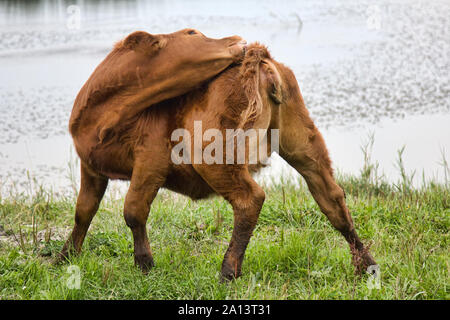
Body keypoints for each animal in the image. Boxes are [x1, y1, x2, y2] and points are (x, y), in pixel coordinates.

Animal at [60, 38, 376, 282]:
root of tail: (259, 57)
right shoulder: (91, 167)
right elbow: (83, 210)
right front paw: (65, 257)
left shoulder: (150, 161)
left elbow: (133, 211)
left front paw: (145, 265)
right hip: (302, 142)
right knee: (330, 194)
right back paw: (366, 266)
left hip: (214, 157)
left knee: (251, 199)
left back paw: (228, 271)